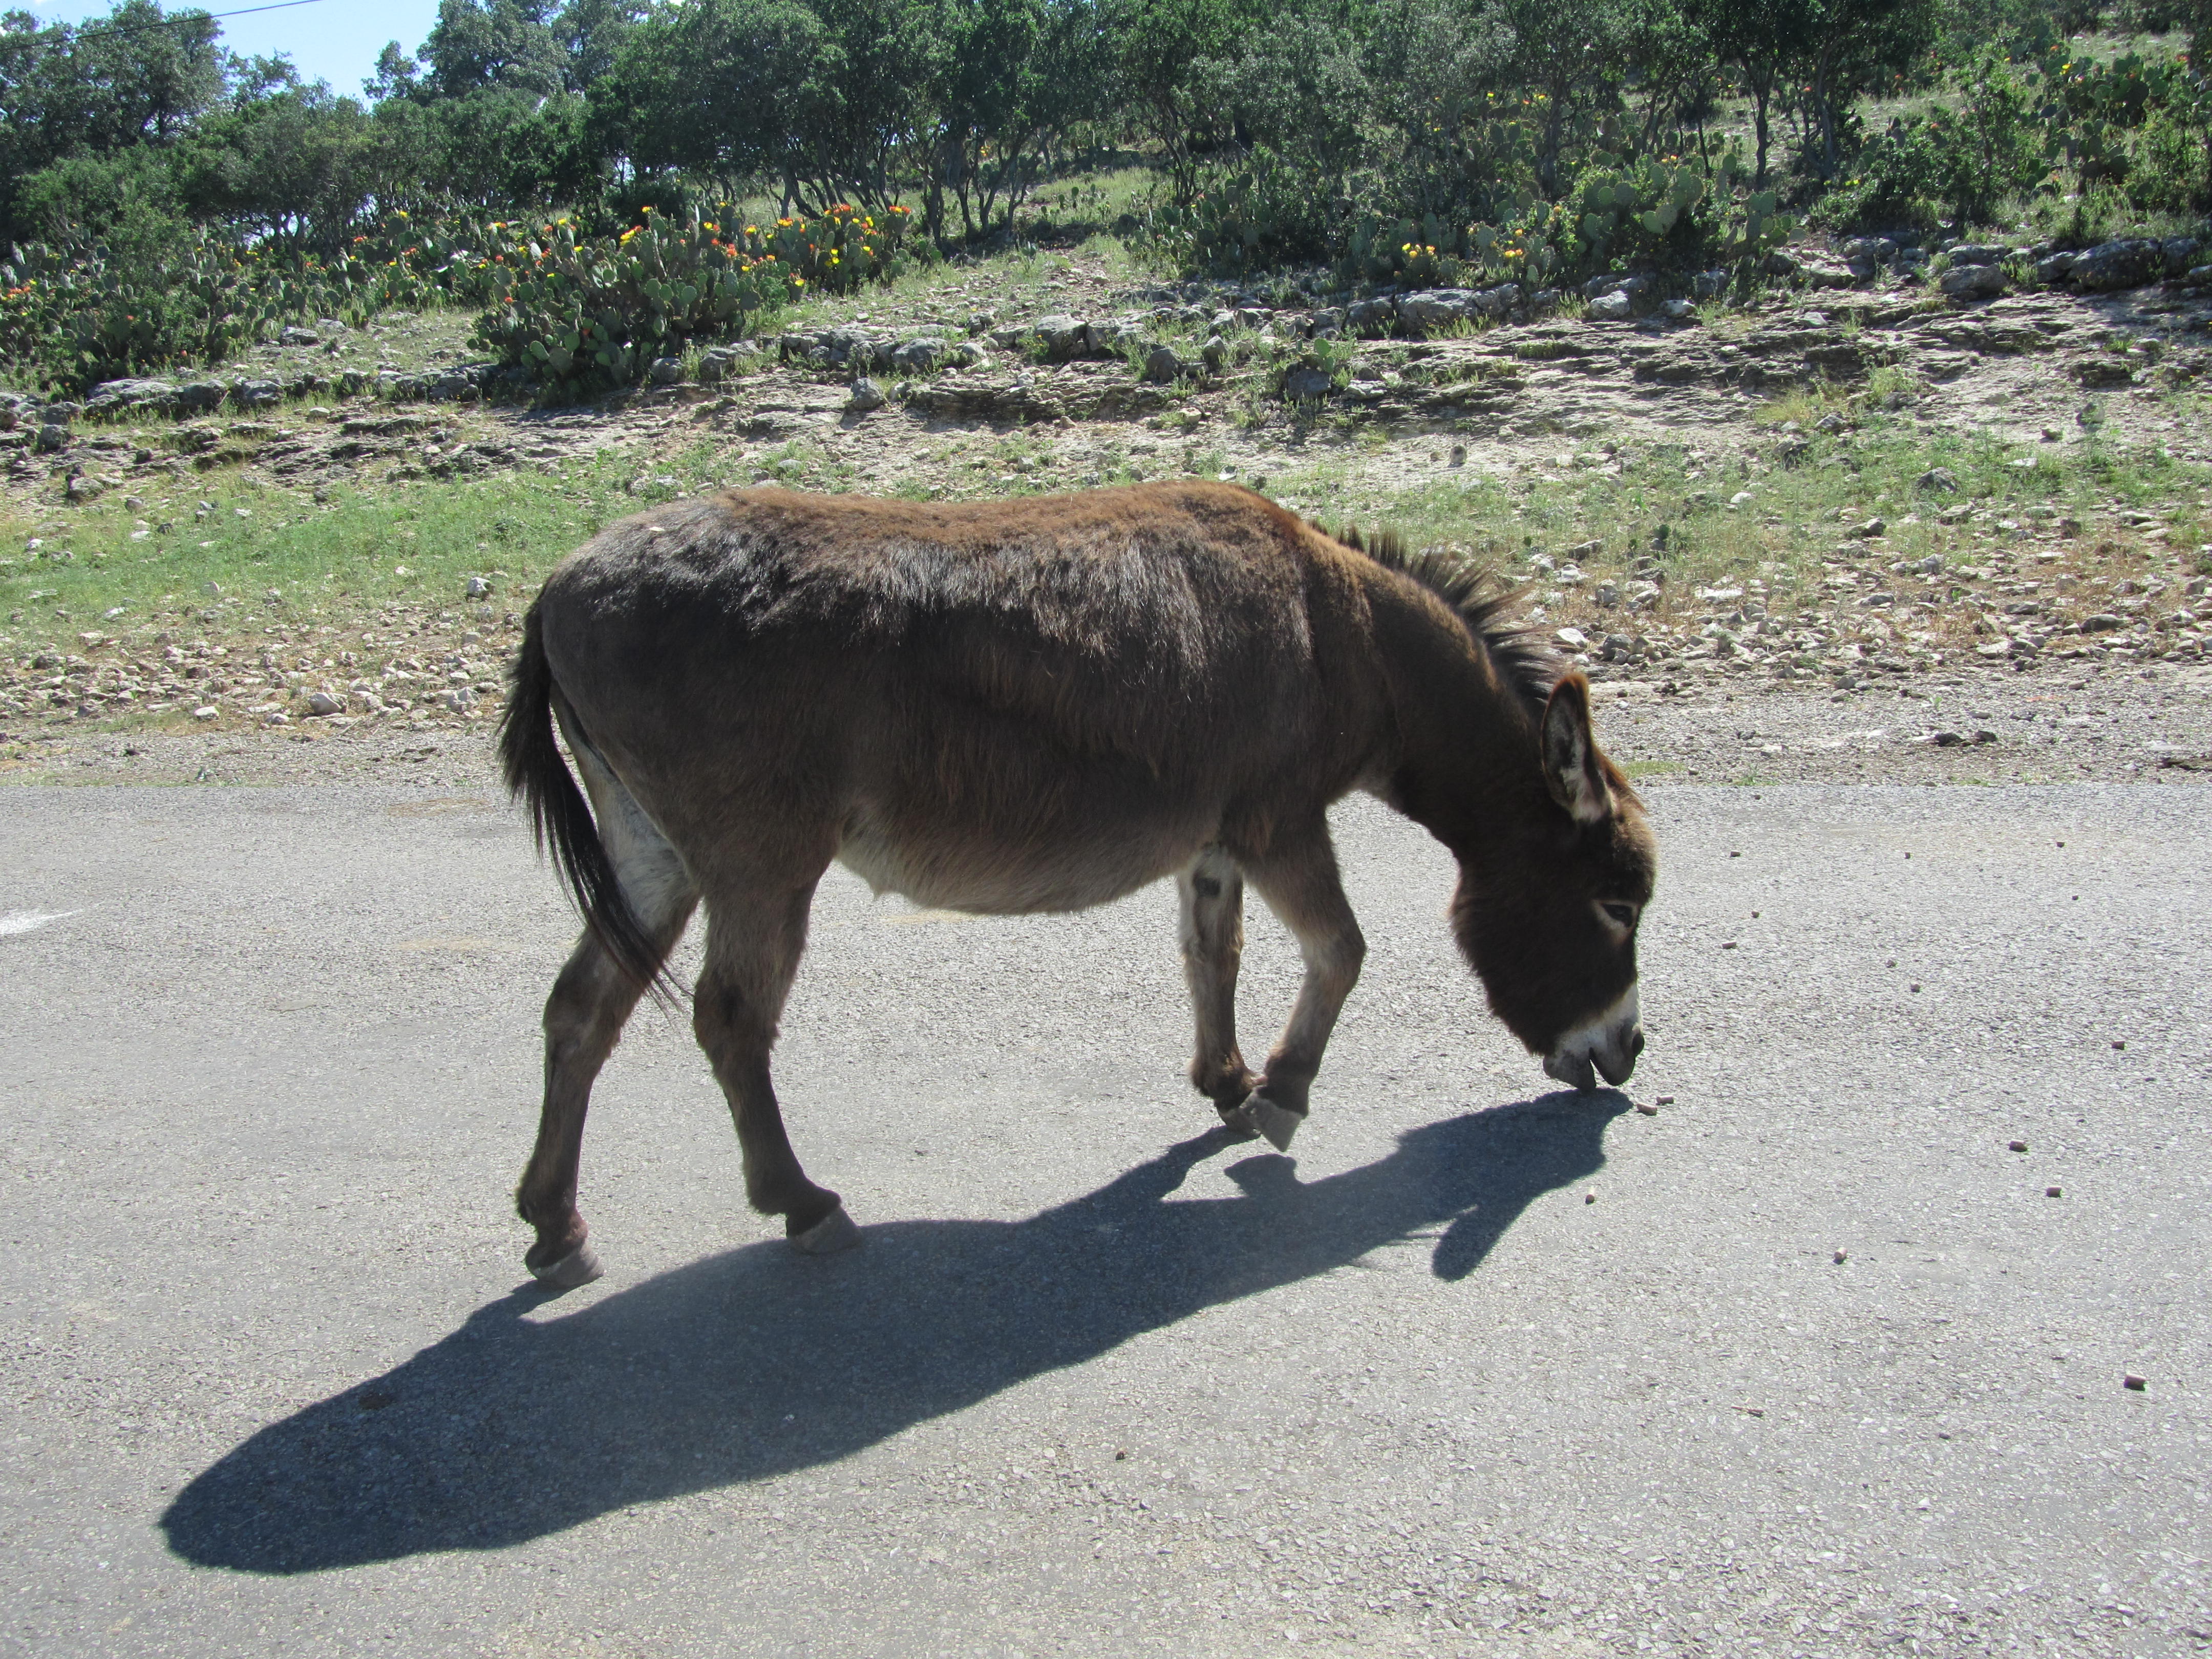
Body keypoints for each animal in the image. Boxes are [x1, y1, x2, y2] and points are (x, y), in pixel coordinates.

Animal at [499, 482, 1657, 1287]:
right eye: (1618, 903)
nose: (1626, 1053)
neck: (1350, 640)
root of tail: (556, 585)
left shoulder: (1216, 838)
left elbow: (1213, 954)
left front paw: (1226, 1084)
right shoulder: (1278, 819)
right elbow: (1342, 950)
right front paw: (1282, 1098)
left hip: (654, 852)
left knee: (581, 1009)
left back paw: (556, 1228)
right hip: (761, 860)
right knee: (732, 1020)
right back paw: (802, 1203)